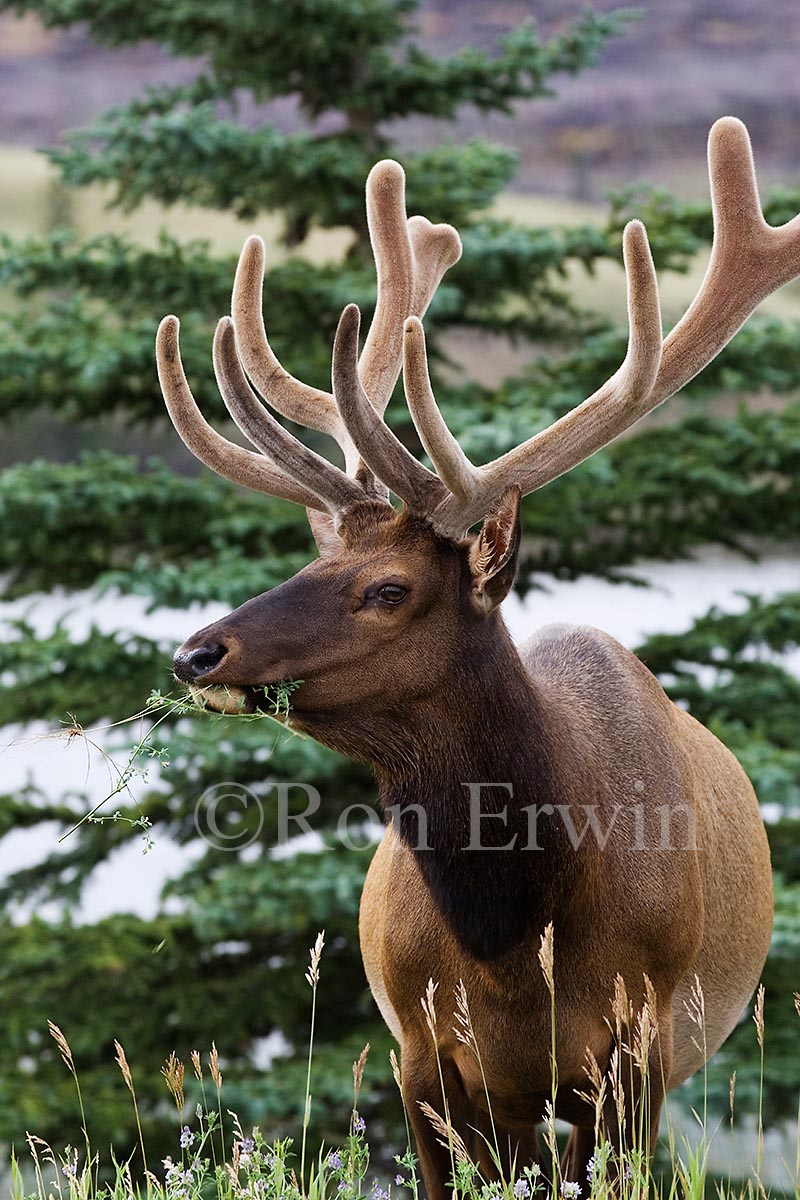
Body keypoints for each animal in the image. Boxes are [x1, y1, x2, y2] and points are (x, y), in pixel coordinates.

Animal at [155, 118, 791, 1184]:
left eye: (388, 589)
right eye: (313, 558)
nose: (198, 654)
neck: (510, 939)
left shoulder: (640, 1050)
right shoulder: (423, 1057)